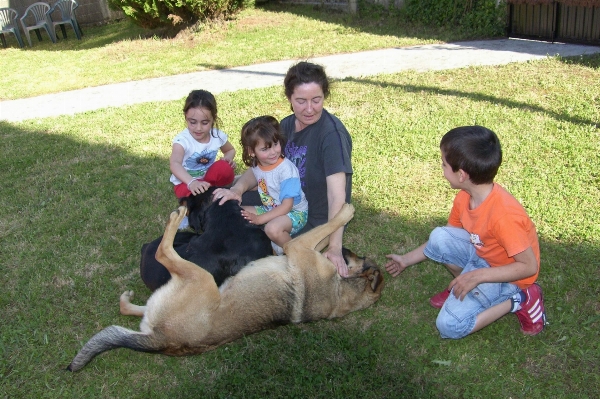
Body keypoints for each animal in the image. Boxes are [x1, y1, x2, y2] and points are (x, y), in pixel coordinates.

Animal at [68, 205, 382, 374]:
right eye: (357, 255)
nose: (346, 250)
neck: (342, 292)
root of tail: (162, 342)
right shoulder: (299, 247)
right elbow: (323, 232)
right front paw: (342, 218)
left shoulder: (298, 246)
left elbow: (327, 226)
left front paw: (345, 211)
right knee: (130, 306)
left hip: (201, 279)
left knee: (162, 253)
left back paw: (175, 218)